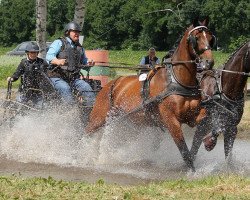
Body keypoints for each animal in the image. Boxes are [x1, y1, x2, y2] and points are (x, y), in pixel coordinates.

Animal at [86, 18, 215, 171]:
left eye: (211, 38)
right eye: (196, 38)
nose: (209, 62)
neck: (177, 81)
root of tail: (109, 85)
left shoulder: (193, 116)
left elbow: (200, 133)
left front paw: (210, 141)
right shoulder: (171, 120)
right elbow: (184, 149)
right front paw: (192, 170)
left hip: (124, 122)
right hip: (98, 119)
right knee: (87, 134)